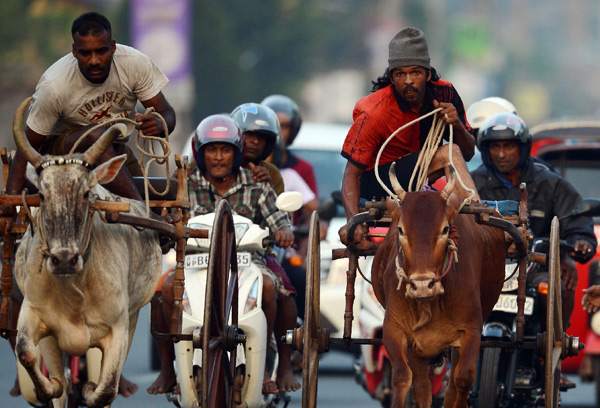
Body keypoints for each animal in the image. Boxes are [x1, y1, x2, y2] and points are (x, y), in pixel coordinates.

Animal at [12, 99, 162, 408]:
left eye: (85, 194)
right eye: (41, 196)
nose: (63, 260)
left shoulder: (119, 328)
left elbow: (104, 390)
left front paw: (91, 390)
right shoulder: (34, 314)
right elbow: (28, 356)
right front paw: (52, 386)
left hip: (133, 316)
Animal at [372, 164, 504, 406]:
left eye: (445, 229)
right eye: (401, 230)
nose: (423, 285)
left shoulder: (471, 330)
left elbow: (463, 378)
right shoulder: (395, 330)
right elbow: (402, 377)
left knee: (451, 384)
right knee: (422, 386)